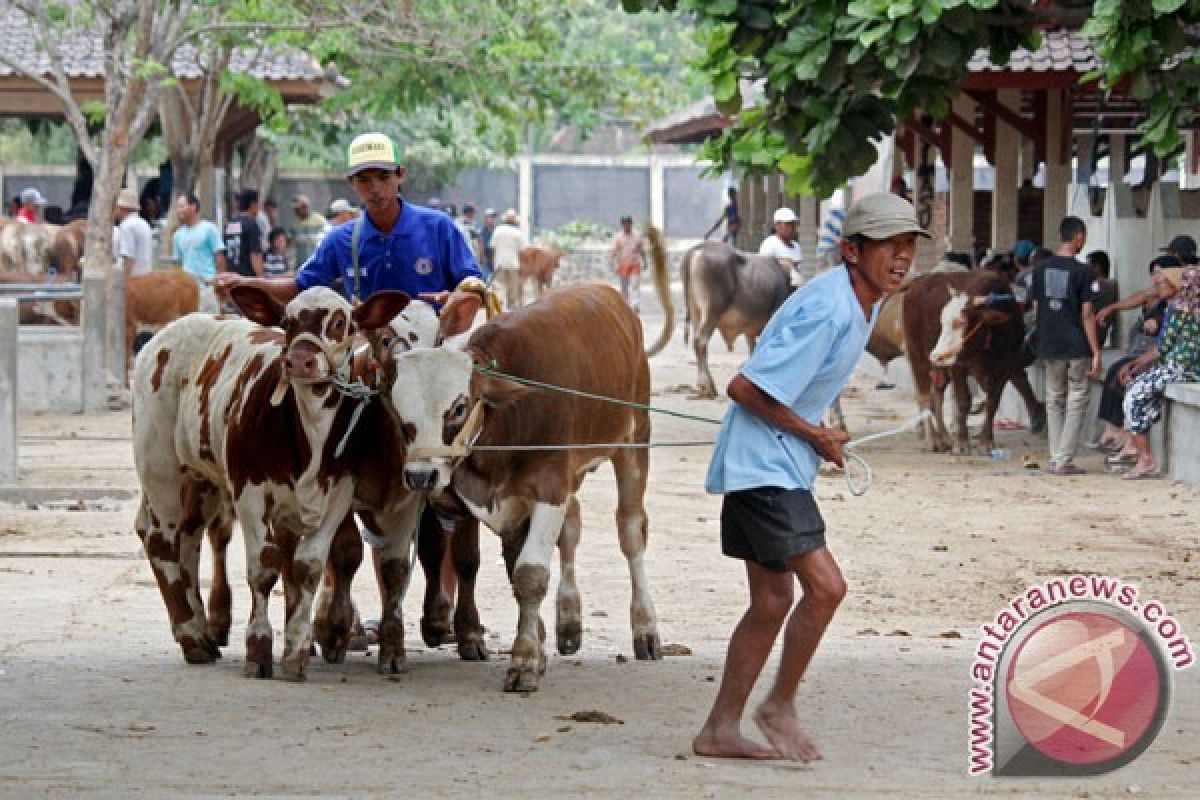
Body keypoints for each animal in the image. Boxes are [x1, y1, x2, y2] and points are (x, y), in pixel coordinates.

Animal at [384, 284, 662, 690]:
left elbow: (530, 574)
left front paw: (525, 661)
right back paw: (569, 621)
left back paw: (645, 628)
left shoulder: (550, 486)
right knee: (571, 529)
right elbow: (494, 561)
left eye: (458, 408)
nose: (421, 477)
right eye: (400, 409)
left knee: (631, 532)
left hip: (633, 441)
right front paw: (539, 646)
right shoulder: (477, 496)